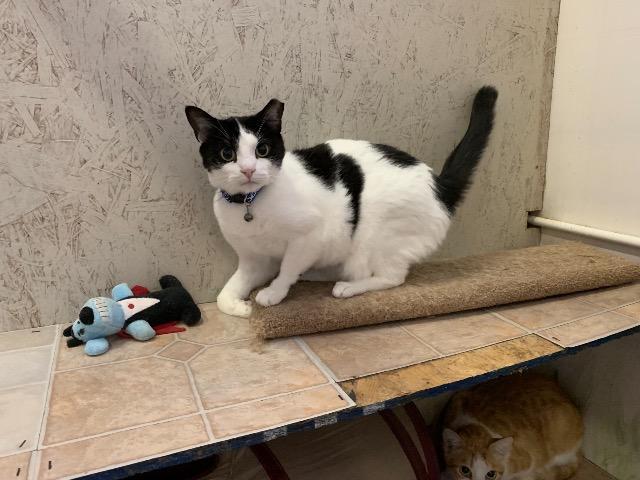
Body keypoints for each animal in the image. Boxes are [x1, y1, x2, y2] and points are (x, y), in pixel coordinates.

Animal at [184, 87, 496, 318]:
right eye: (227, 154)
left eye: (262, 149)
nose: (248, 170)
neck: (250, 204)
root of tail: (439, 183)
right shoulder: (253, 260)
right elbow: (223, 296)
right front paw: (240, 306)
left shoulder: (310, 236)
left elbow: (287, 268)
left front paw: (273, 292)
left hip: (377, 235)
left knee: (392, 277)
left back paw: (347, 287)